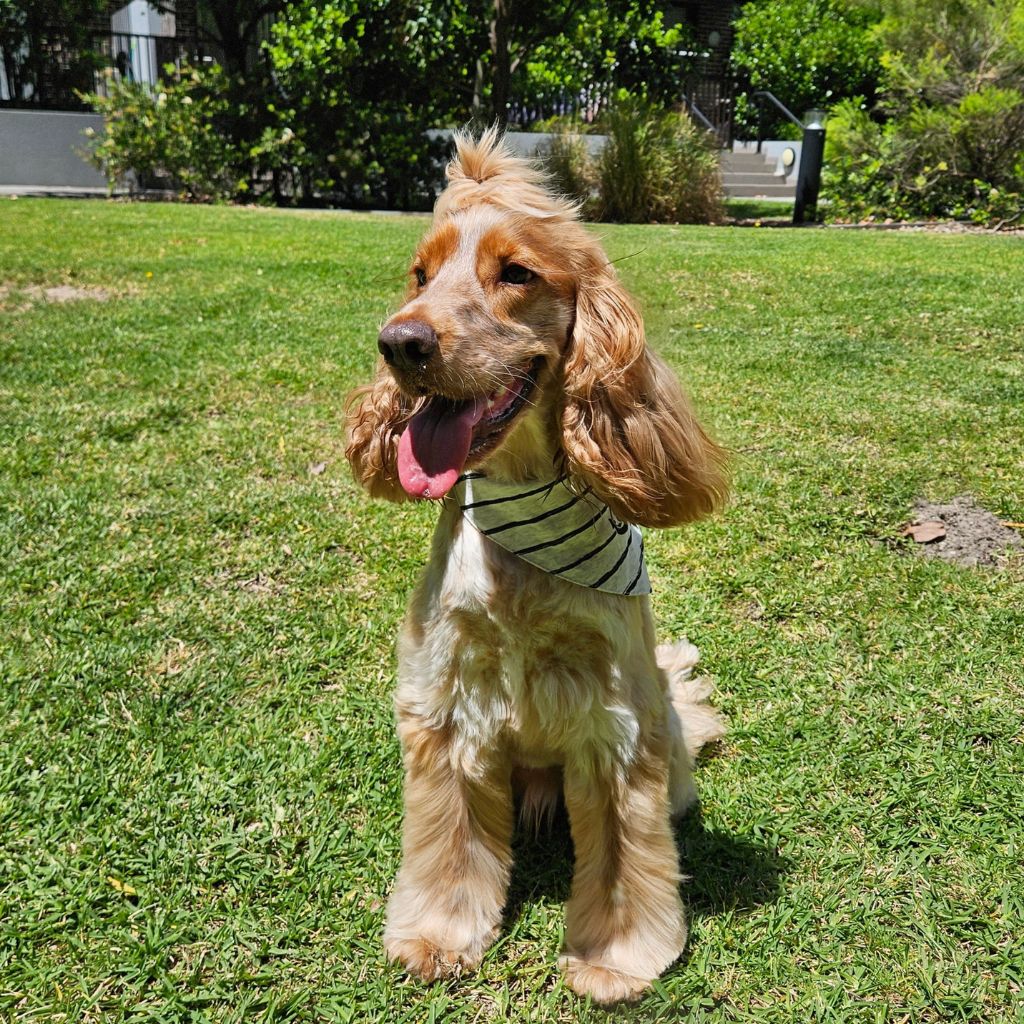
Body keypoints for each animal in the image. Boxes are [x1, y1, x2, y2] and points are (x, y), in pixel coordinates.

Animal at [344, 125, 729, 999]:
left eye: (516, 274)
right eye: (420, 275)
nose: (400, 343)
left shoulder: (616, 722)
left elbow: (625, 857)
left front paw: (614, 957)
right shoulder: (448, 704)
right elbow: (449, 844)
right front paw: (437, 935)